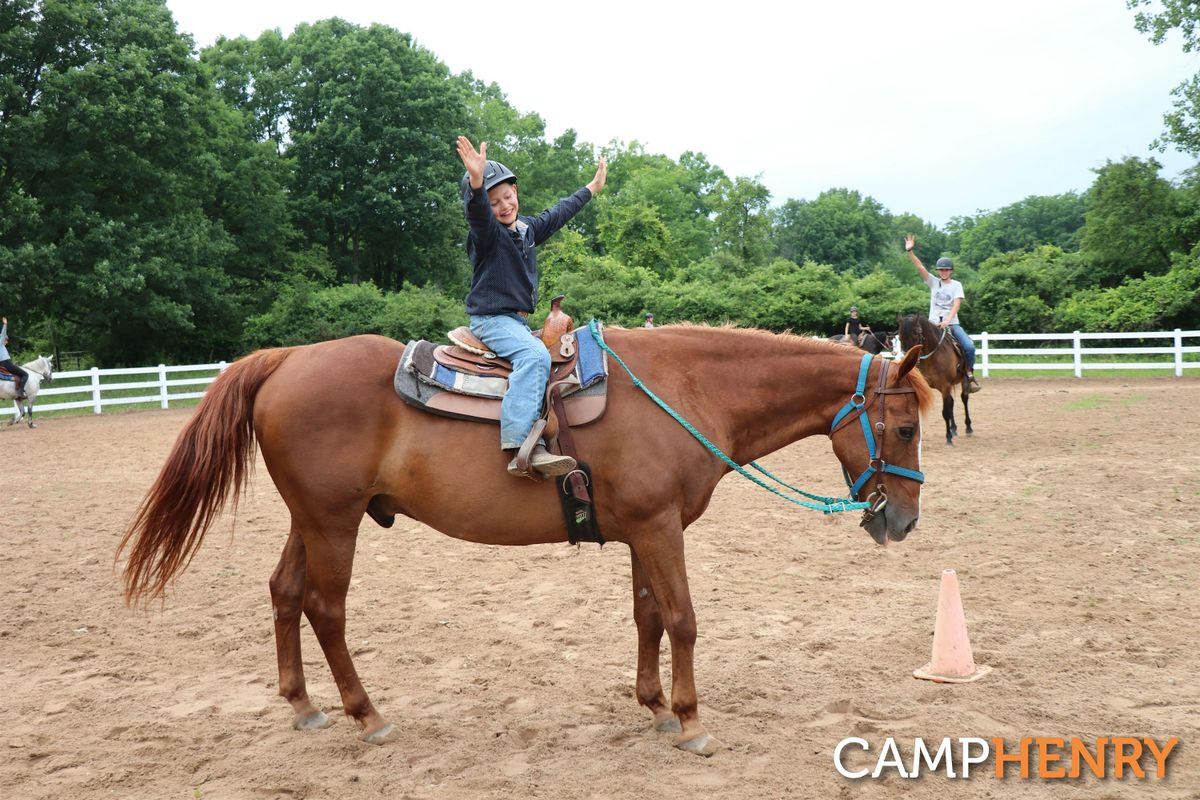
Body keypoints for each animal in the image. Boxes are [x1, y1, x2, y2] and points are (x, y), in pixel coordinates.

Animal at [117, 326, 931, 758]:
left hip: (311, 520)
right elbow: (684, 620)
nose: (904, 521)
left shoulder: (642, 530)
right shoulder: (661, 527)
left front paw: (655, 706)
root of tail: (286, 358)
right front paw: (692, 721)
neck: (686, 389)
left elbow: (647, 617)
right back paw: (366, 715)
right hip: (333, 524)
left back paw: (303, 705)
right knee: (326, 608)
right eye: (905, 426)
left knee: (284, 593)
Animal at [897, 316, 969, 448]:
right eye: (900, 338)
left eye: (916, 334)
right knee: (951, 403)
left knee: (964, 398)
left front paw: (948, 438)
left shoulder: (945, 385)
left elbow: (945, 412)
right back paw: (954, 429)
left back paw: (968, 427)